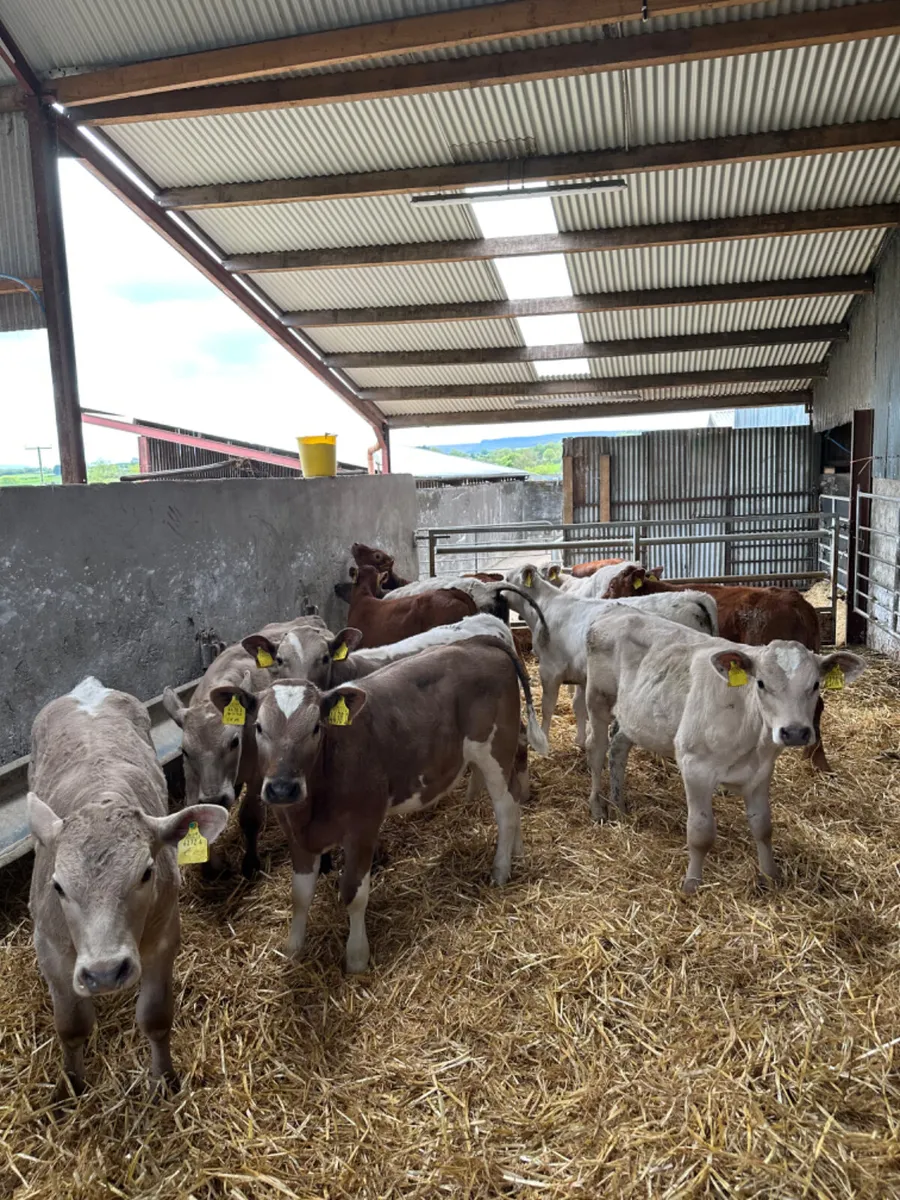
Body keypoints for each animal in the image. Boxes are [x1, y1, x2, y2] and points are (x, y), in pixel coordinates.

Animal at [27, 678, 228, 1097]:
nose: (104, 973)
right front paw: (70, 1085)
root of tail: (87, 686)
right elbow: (71, 1026)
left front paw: (164, 1078)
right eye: (58, 887)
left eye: (146, 873)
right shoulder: (50, 946)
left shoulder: (164, 937)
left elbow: (155, 1018)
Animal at [162, 617, 335, 877]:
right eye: (184, 751)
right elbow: (194, 812)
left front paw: (250, 863)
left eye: (234, 742)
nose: (216, 796)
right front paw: (211, 868)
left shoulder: (257, 774)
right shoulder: (192, 777)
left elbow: (250, 817)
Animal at [209, 637, 548, 972]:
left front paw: (357, 958)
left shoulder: (363, 828)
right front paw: (293, 951)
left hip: (495, 747)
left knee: (505, 808)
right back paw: (517, 851)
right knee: (514, 798)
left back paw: (500, 870)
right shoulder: (295, 833)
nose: (282, 788)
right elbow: (300, 896)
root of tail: (478, 643)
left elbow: (354, 894)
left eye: (316, 727)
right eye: (258, 727)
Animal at [505, 564, 718, 746]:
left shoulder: (550, 671)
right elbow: (578, 706)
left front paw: (543, 739)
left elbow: (547, 707)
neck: (544, 608)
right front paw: (580, 740)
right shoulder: (580, 675)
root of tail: (695, 596)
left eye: (506, 578)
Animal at [581, 608, 864, 891]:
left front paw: (771, 876)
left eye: (815, 684)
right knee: (596, 750)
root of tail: (615, 614)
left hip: (635, 717)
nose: (794, 732)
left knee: (618, 748)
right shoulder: (694, 766)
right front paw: (691, 884)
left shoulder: (761, 771)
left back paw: (619, 806)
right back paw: (598, 807)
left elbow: (763, 826)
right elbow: (700, 832)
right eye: (761, 683)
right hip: (597, 699)